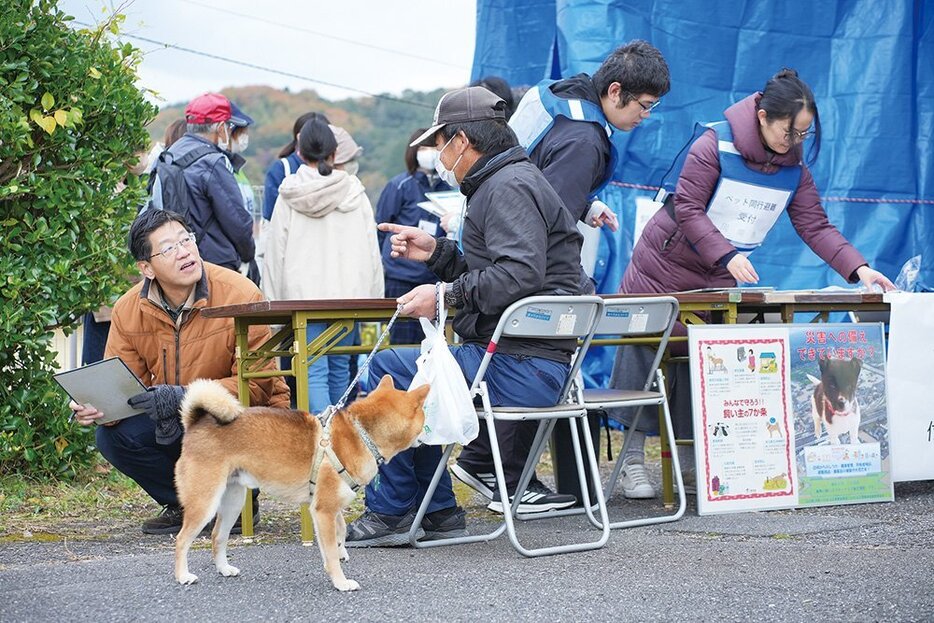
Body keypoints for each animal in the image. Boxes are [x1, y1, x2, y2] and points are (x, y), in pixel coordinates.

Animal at [174, 378, 430, 592]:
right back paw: (182, 576)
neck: (362, 434)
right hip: (205, 503)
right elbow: (330, 553)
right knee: (182, 539)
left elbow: (340, 532)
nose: (429, 435)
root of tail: (196, 423)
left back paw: (224, 569)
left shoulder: (329, 507)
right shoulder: (323, 510)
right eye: (425, 416)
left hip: (232, 503)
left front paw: (342, 551)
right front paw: (341, 582)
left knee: (217, 536)